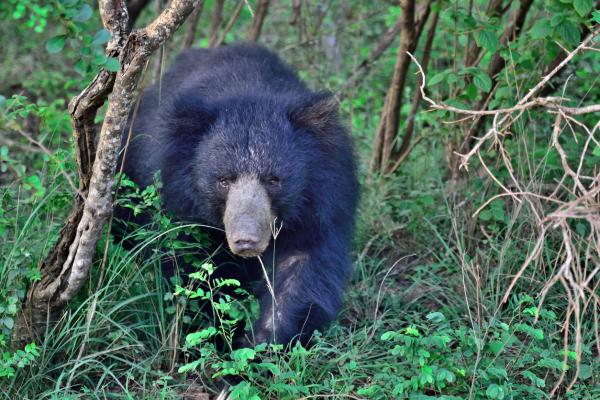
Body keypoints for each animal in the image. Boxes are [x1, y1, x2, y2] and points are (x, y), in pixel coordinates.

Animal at [119, 43, 358, 344]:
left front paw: (263, 339)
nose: (246, 240)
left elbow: (302, 270)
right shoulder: (177, 200)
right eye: (224, 180)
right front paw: (209, 336)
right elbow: (190, 268)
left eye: (273, 180)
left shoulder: (321, 202)